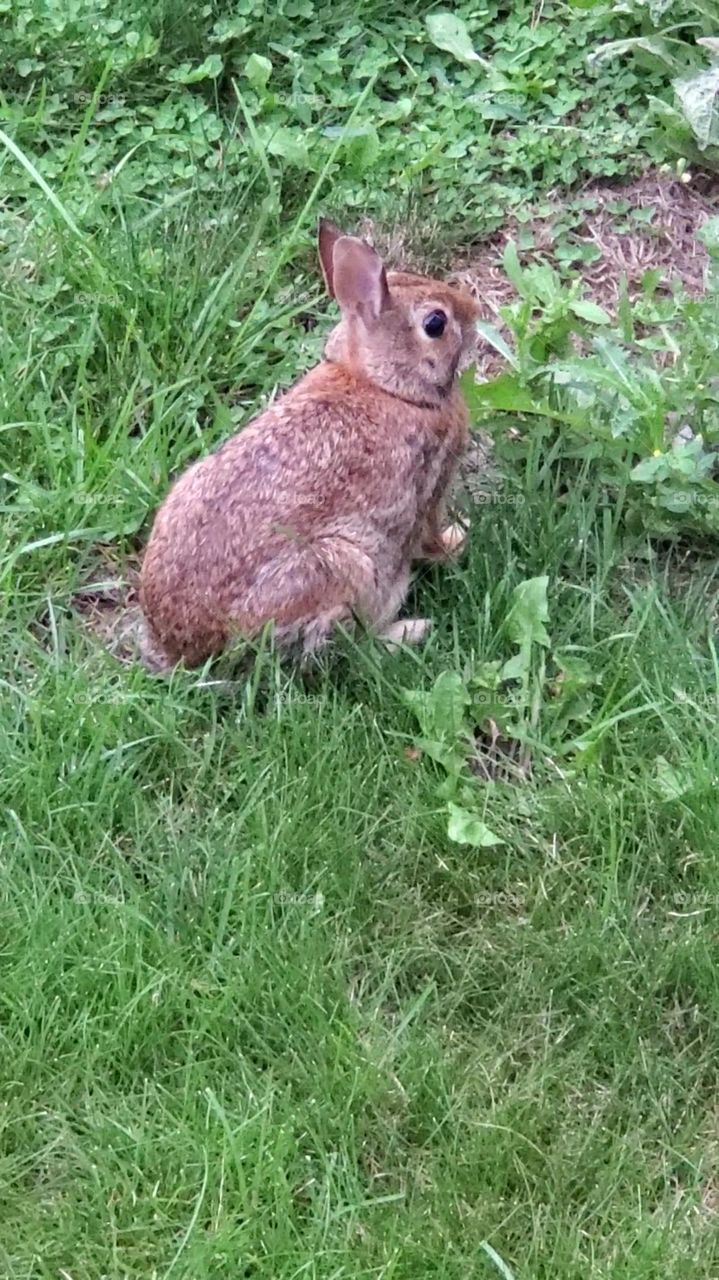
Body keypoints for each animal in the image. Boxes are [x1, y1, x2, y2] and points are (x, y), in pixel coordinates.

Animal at [138, 219, 480, 671]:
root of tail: (190, 650)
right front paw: (458, 540)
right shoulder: (429, 487)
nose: (474, 311)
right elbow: (430, 536)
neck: (384, 385)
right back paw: (410, 631)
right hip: (343, 571)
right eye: (436, 323)